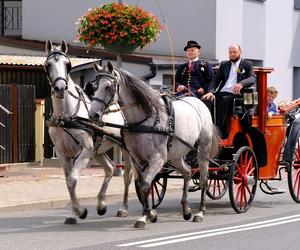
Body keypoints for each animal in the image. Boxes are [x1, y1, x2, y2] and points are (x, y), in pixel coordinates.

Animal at [44, 41, 134, 225]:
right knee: (110, 168)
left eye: (67, 64)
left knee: (127, 175)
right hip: (98, 150)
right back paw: (101, 204)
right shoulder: (63, 154)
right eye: (48, 65)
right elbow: (68, 182)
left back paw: (123, 208)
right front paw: (74, 213)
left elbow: (72, 179)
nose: (60, 88)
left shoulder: (85, 150)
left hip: (123, 148)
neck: (67, 116)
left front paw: (81, 211)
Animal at [88, 62, 219, 229]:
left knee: (203, 179)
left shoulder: (158, 158)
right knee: (187, 172)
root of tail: (199, 102)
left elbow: (145, 185)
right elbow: (144, 185)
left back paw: (200, 212)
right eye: (94, 86)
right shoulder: (138, 159)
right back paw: (186, 209)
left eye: (108, 87)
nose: (93, 115)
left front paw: (147, 215)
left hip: (203, 150)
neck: (144, 119)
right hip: (176, 154)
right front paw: (149, 213)